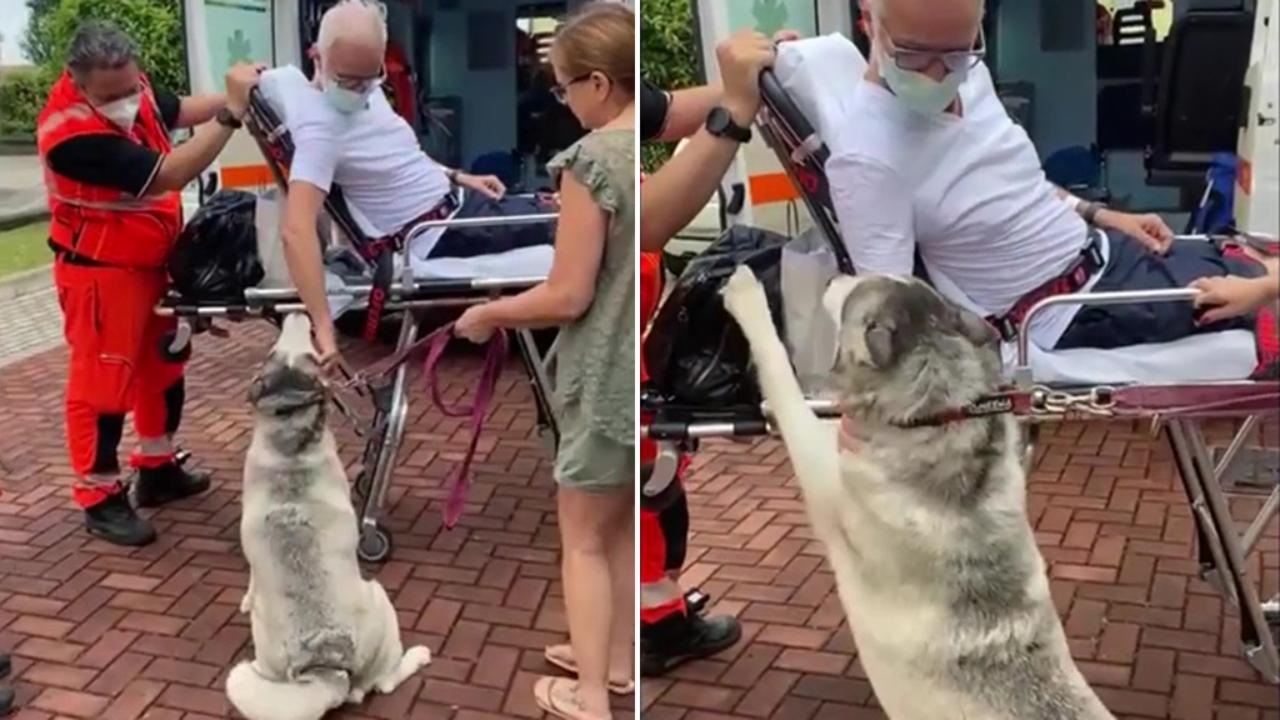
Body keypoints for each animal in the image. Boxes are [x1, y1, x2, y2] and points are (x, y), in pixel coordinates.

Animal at [227, 312, 432, 717]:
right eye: (278, 350)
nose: (298, 313)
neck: (289, 438)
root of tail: (324, 665)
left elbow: (252, 579)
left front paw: (245, 598)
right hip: (380, 596)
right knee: (384, 682)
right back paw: (419, 655)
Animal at [721, 266, 1111, 712]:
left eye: (854, 287)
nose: (837, 273)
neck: (939, 420)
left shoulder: (824, 476)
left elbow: (783, 382)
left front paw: (745, 295)